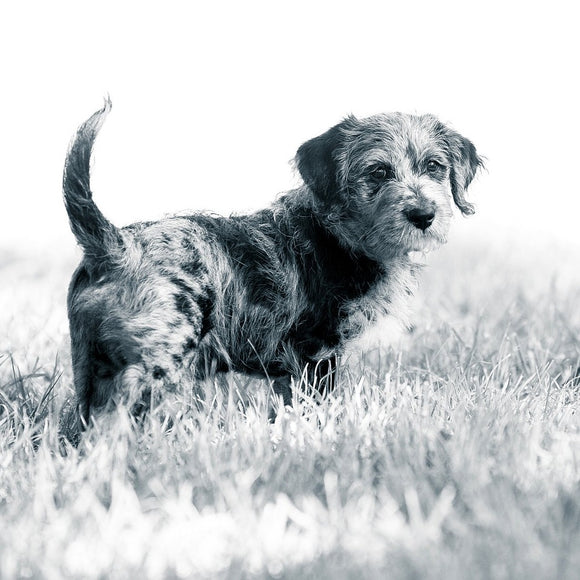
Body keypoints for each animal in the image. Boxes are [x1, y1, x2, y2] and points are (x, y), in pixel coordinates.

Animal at [63, 99, 482, 422]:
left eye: (434, 167)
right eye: (378, 172)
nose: (423, 215)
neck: (339, 233)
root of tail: (118, 246)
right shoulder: (315, 353)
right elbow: (314, 407)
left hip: (89, 364)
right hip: (159, 360)